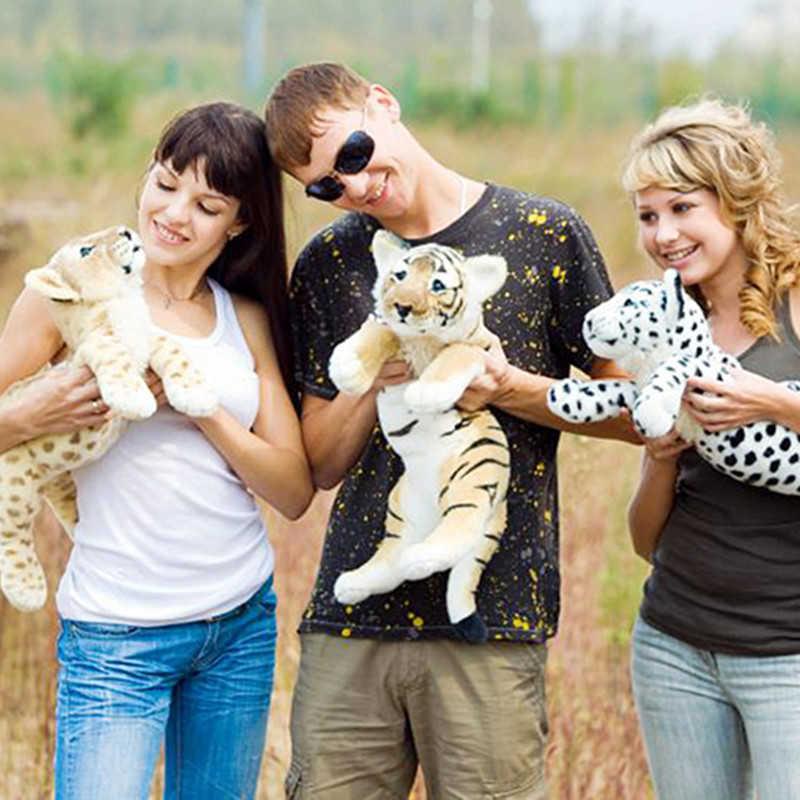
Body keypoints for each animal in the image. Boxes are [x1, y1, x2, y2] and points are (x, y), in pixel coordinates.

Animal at [327, 229, 510, 643]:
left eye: (437, 285)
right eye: (399, 276)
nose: (402, 307)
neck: (420, 339)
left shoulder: (481, 353)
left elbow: (455, 355)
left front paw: (425, 394)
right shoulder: (390, 331)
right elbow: (377, 331)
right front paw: (346, 368)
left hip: (473, 477)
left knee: (462, 528)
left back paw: (421, 558)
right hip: (402, 507)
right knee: (392, 562)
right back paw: (352, 583)